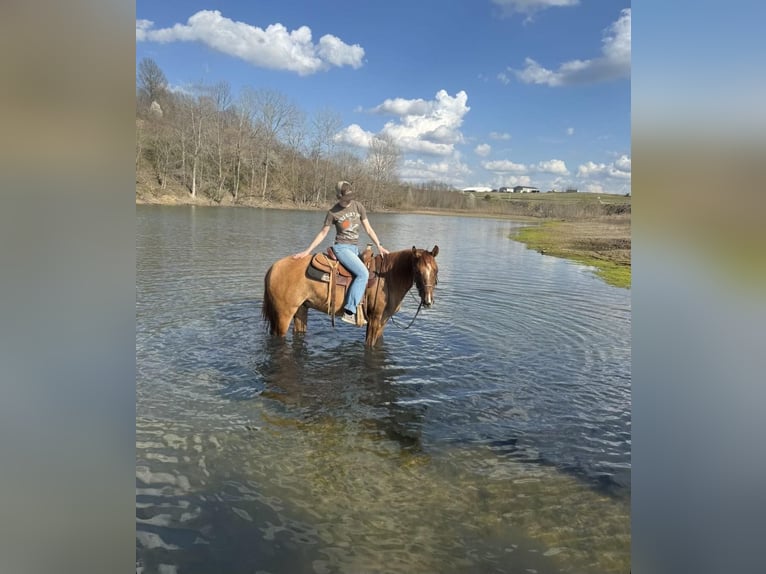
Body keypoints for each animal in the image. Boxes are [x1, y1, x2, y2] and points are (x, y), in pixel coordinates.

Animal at [264, 246, 440, 348]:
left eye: (436, 270)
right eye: (417, 271)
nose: (428, 301)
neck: (388, 278)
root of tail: (274, 267)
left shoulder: (383, 321)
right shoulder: (375, 319)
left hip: (301, 310)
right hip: (283, 315)